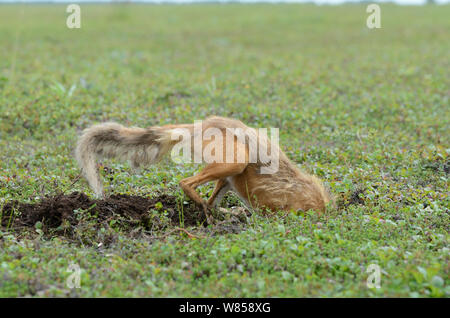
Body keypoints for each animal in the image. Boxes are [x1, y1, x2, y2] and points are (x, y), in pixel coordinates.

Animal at [75, 115, 332, 222]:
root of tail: (205, 123)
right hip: (237, 161)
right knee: (186, 184)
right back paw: (206, 213)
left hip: (230, 176)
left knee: (212, 201)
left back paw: (225, 214)